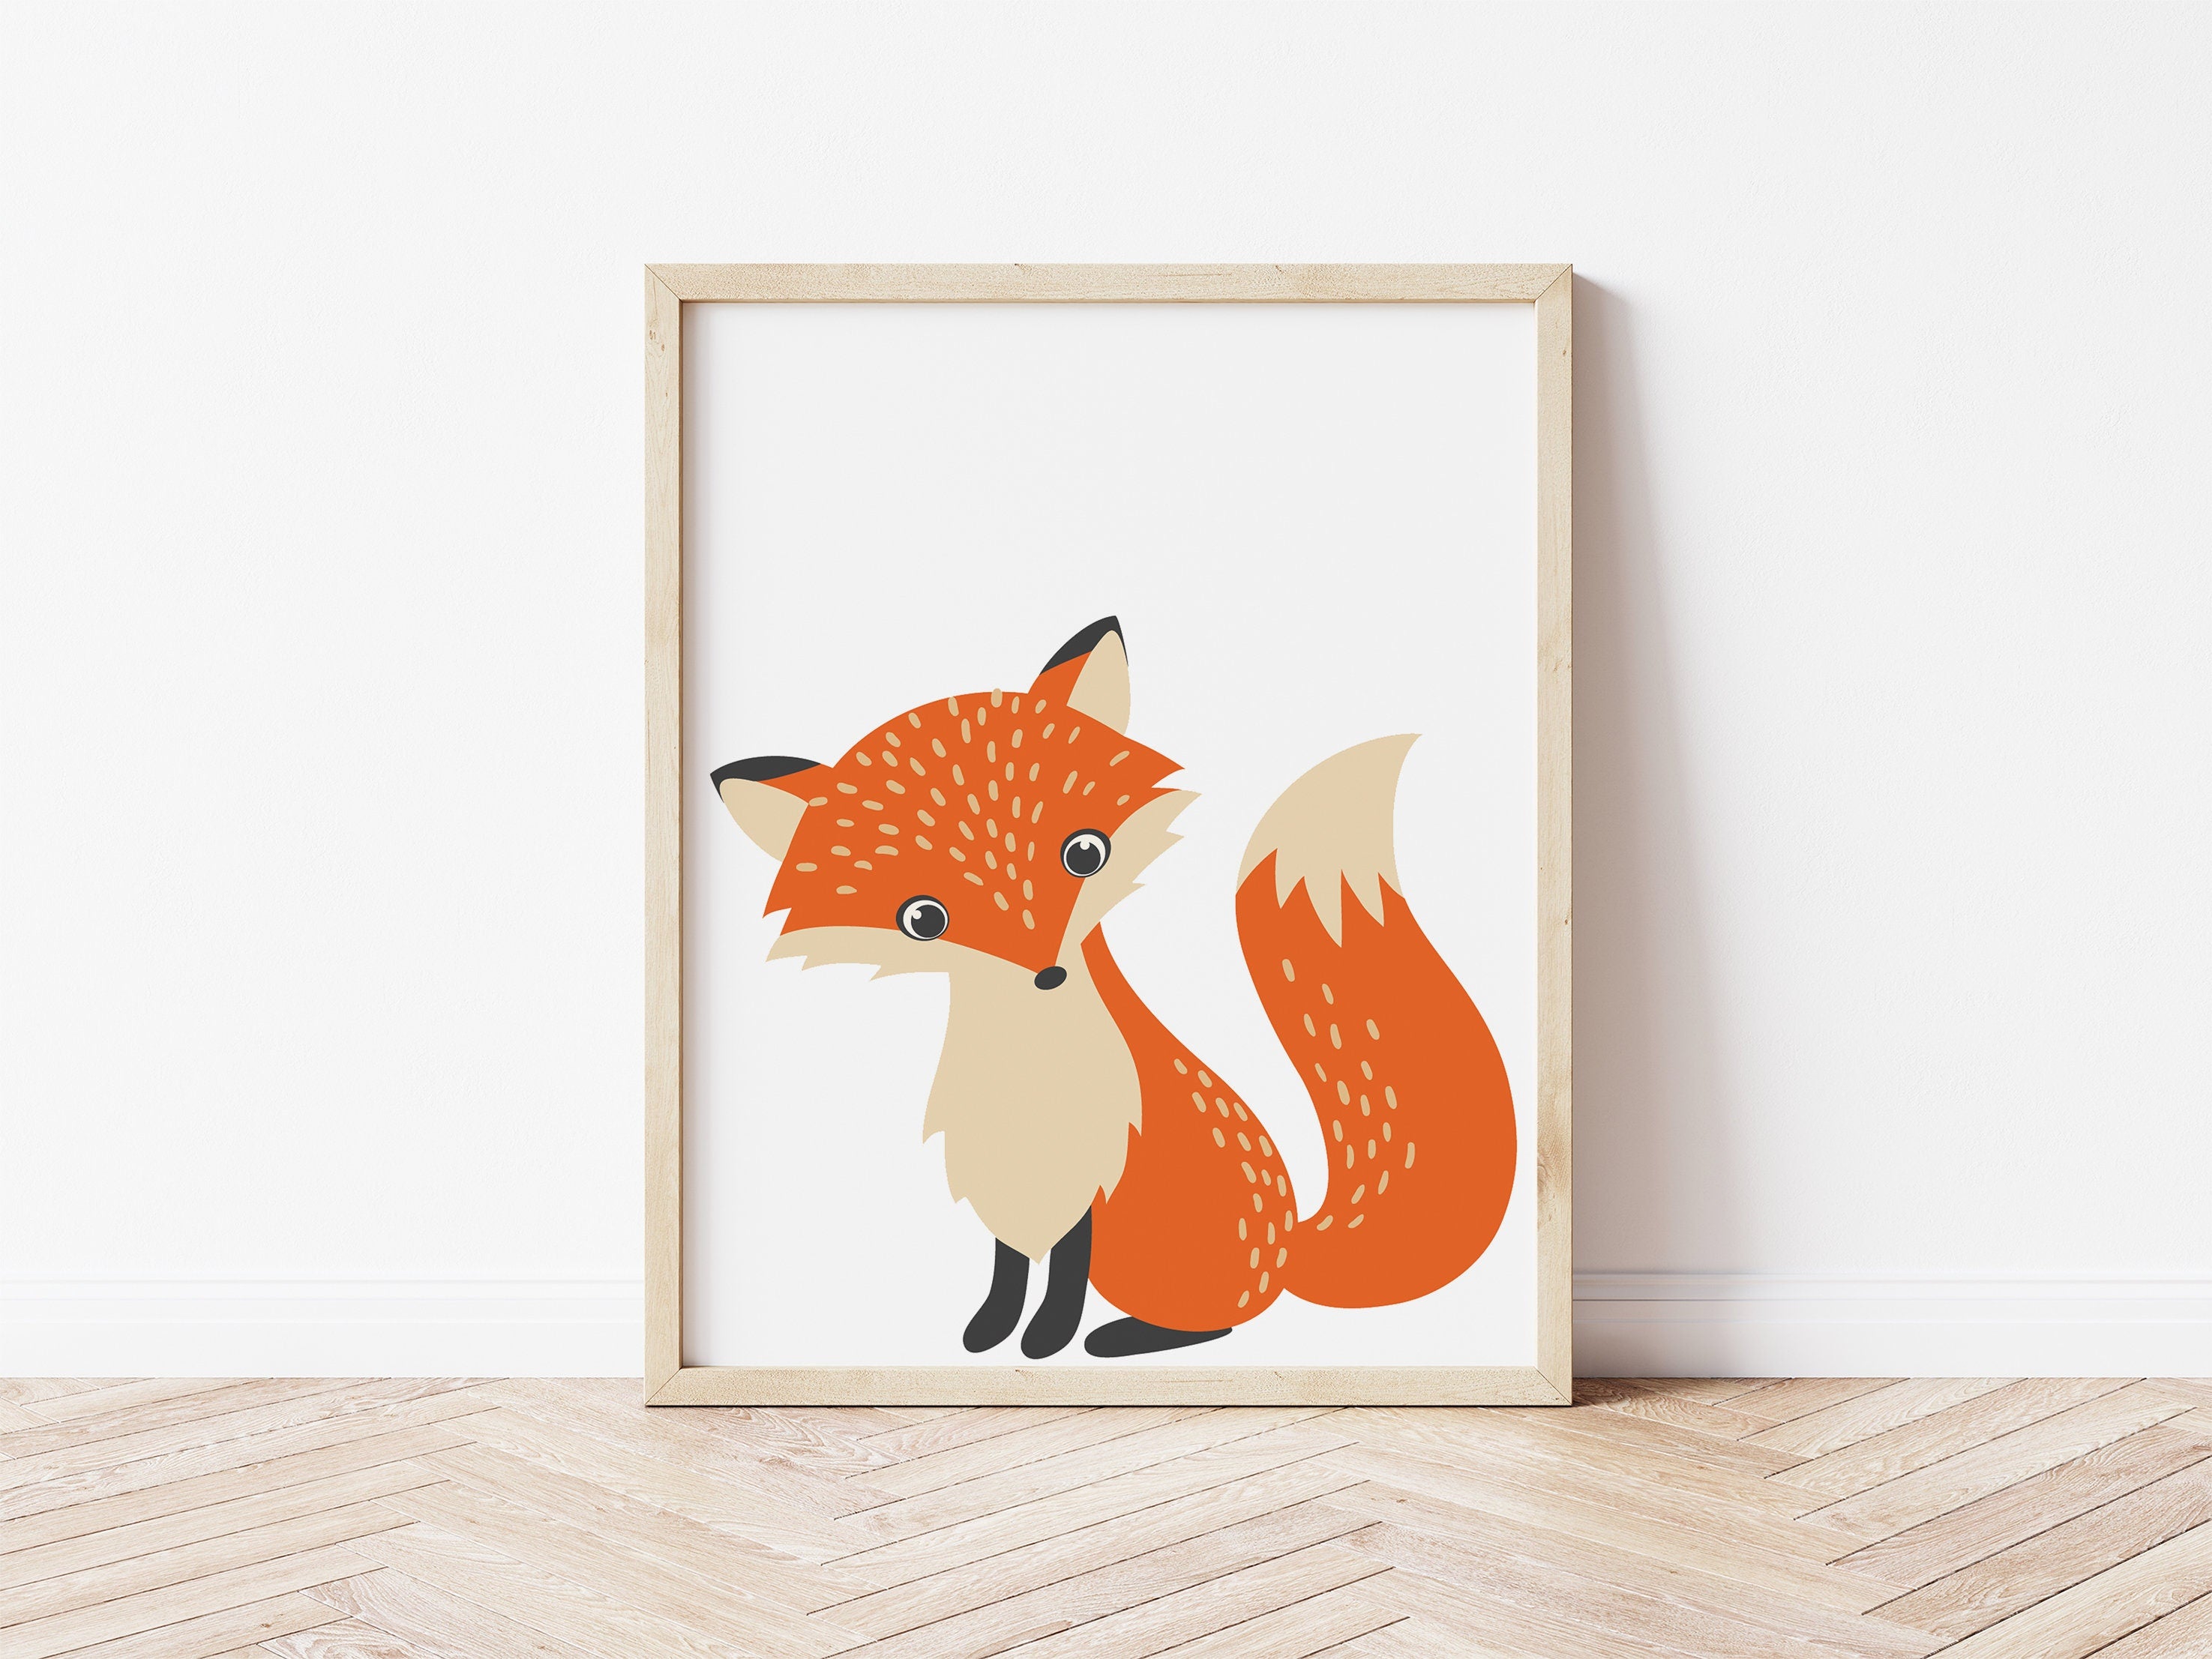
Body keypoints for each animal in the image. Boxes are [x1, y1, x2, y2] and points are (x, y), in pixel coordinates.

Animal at [711, 617, 1516, 1359]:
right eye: (924, 919)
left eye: (1084, 853)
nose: (1048, 972)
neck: (1029, 1085)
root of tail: (1288, 1245)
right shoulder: (1000, 1182)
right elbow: (1007, 1272)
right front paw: (990, 1332)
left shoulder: (1092, 1186)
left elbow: (1064, 1277)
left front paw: (1046, 1341)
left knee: (1221, 1323)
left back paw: (1124, 1337)